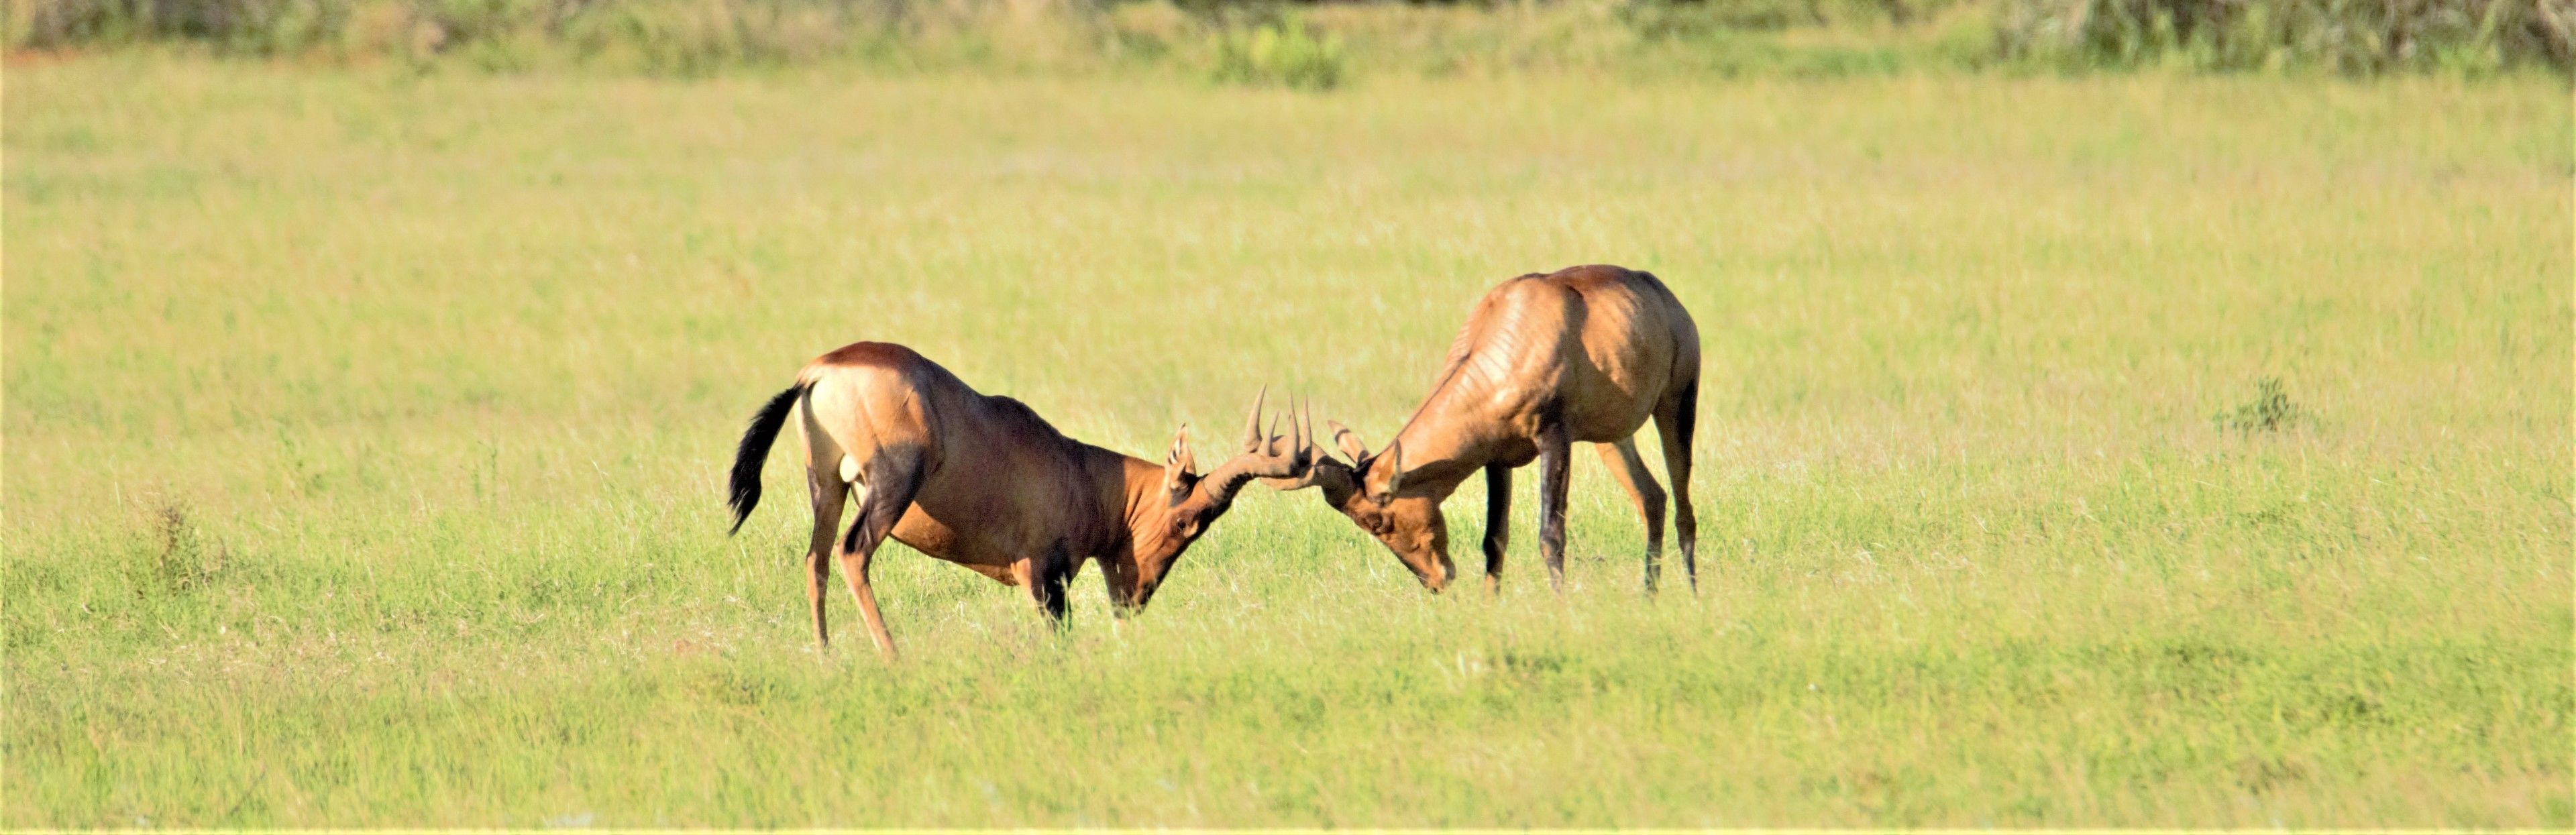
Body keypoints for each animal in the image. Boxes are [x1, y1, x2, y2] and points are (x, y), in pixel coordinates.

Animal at [724, 341, 1312, 656]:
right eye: (1187, 521)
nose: (1133, 602)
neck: (1076, 469)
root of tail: (821, 370)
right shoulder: (1042, 575)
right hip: (890, 485)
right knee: (852, 553)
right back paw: (893, 656)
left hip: (827, 484)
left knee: (816, 559)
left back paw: (825, 656)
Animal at [1264, 265, 1703, 595]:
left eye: (1376, 521)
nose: (1435, 582)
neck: (1513, 325)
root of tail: (1666, 296)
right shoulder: (1498, 456)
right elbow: (1494, 540)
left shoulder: (1555, 438)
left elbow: (1551, 535)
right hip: (1611, 437)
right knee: (1653, 498)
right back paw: (1649, 598)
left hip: (1677, 404)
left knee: (1684, 506)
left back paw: (1694, 597)